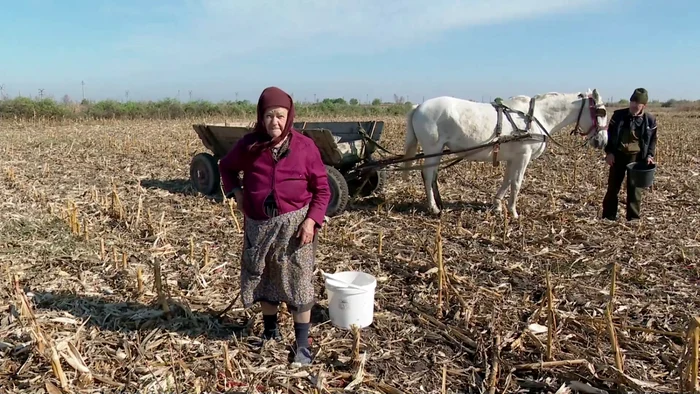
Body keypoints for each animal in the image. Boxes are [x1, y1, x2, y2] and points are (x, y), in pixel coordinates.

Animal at [402, 89, 608, 219]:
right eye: (602, 112)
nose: (603, 141)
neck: (536, 117)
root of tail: (418, 106)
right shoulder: (523, 157)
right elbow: (516, 183)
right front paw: (513, 212)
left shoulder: (513, 158)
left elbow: (507, 180)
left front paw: (497, 205)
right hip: (433, 149)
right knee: (428, 175)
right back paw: (433, 207)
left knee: (432, 176)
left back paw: (439, 204)